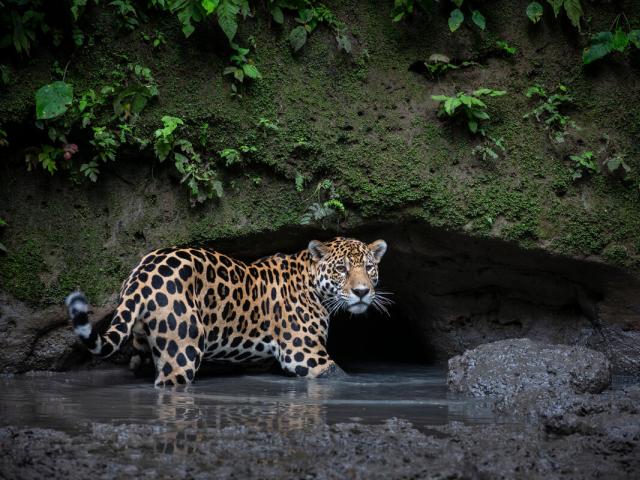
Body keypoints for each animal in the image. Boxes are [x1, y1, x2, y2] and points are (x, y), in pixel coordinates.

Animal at [65, 237, 389, 387]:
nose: (362, 292)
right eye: (341, 269)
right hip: (183, 350)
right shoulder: (307, 356)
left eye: (369, 267)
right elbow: (341, 377)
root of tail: (143, 272)